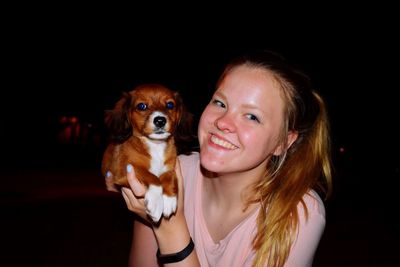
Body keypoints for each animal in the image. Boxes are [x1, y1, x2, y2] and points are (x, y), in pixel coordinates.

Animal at [101, 84, 192, 222]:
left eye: (170, 105)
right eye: (142, 106)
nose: (160, 120)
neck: (155, 146)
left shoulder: (170, 168)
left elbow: (169, 177)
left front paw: (169, 199)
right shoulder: (124, 169)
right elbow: (152, 177)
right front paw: (156, 203)